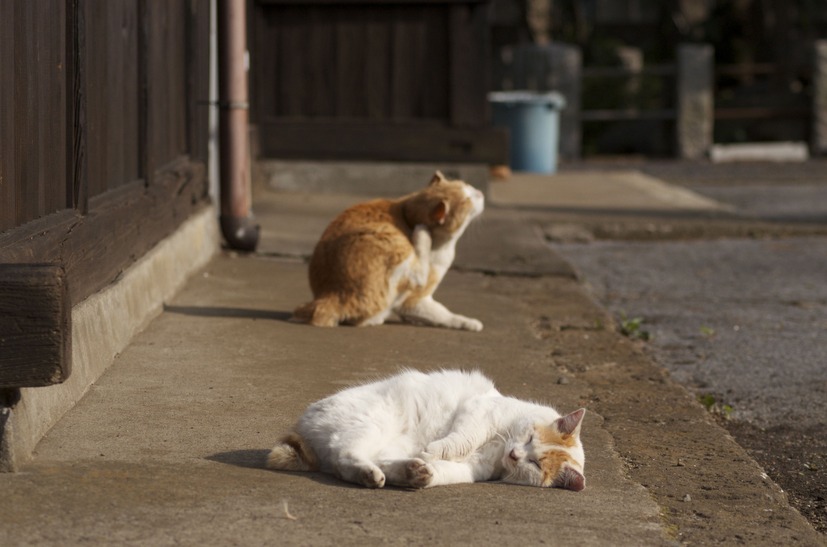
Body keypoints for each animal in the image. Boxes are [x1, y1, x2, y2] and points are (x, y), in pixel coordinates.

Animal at [268, 368, 584, 492]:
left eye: (534, 464)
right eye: (529, 438)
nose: (516, 455)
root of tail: (303, 427)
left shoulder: (473, 469)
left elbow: (447, 469)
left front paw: (428, 466)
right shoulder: (479, 412)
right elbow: (462, 439)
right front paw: (434, 450)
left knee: (362, 461)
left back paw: (410, 473)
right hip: (371, 426)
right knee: (342, 457)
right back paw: (372, 474)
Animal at [292, 171, 482, 330]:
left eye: (468, 185)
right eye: (466, 200)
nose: (480, 193)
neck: (408, 217)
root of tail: (331, 295)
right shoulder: (414, 300)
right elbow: (444, 314)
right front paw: (470, 323)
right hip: (391, 238)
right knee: (418, 272)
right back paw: (422, 235)